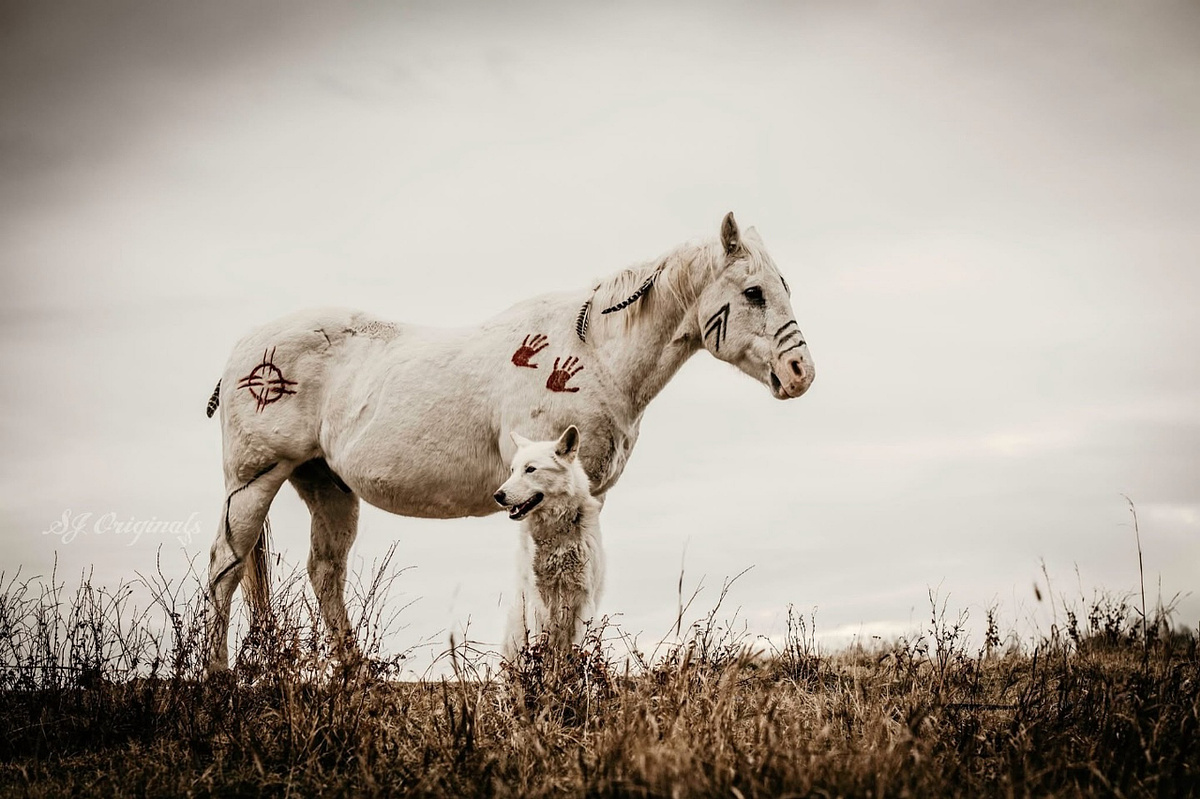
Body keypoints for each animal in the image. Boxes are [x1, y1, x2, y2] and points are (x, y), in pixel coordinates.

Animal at [494, 425, 604, 657]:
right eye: (512, 470)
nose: (497, 495)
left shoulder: (584, 599)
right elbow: (538, 648)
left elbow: (581, 650)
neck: (557, 532)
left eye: (530, 469)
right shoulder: (537, 599)